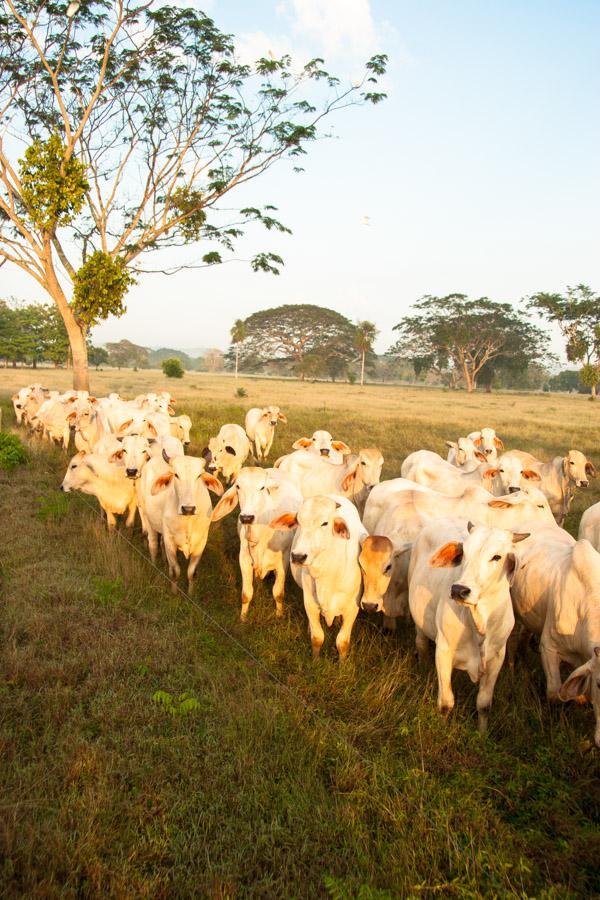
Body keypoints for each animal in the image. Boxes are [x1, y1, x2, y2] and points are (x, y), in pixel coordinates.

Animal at [212, 468, 304, 624]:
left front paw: (279, 615)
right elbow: (246, 594)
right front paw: (243, 617)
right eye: (238, 486)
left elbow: (278, 593)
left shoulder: (283, 561)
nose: (247, 517)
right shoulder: (244, 559)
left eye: (262, 487)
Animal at [410, 516, 528, 736]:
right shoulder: (443, 652)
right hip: (419, 621)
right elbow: (446, 702)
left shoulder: (497, 658)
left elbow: (484, 704)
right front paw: (442, 728)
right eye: (464, 552)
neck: (479, 623)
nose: (459, 590)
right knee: (420, 643)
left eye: (497, 557)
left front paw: (482, 734)